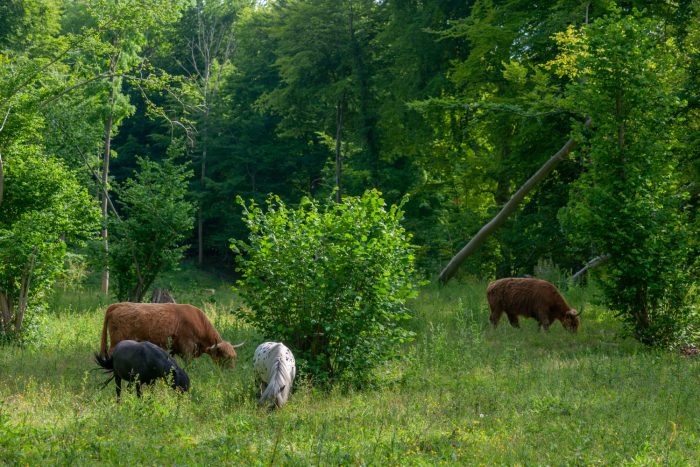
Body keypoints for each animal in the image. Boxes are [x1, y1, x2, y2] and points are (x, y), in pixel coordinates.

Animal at [97, 304, 242, 370]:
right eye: (225, 357)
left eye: (234, 357)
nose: (231, 371)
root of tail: (117, 305)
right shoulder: (187, 349)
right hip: (117, 341)